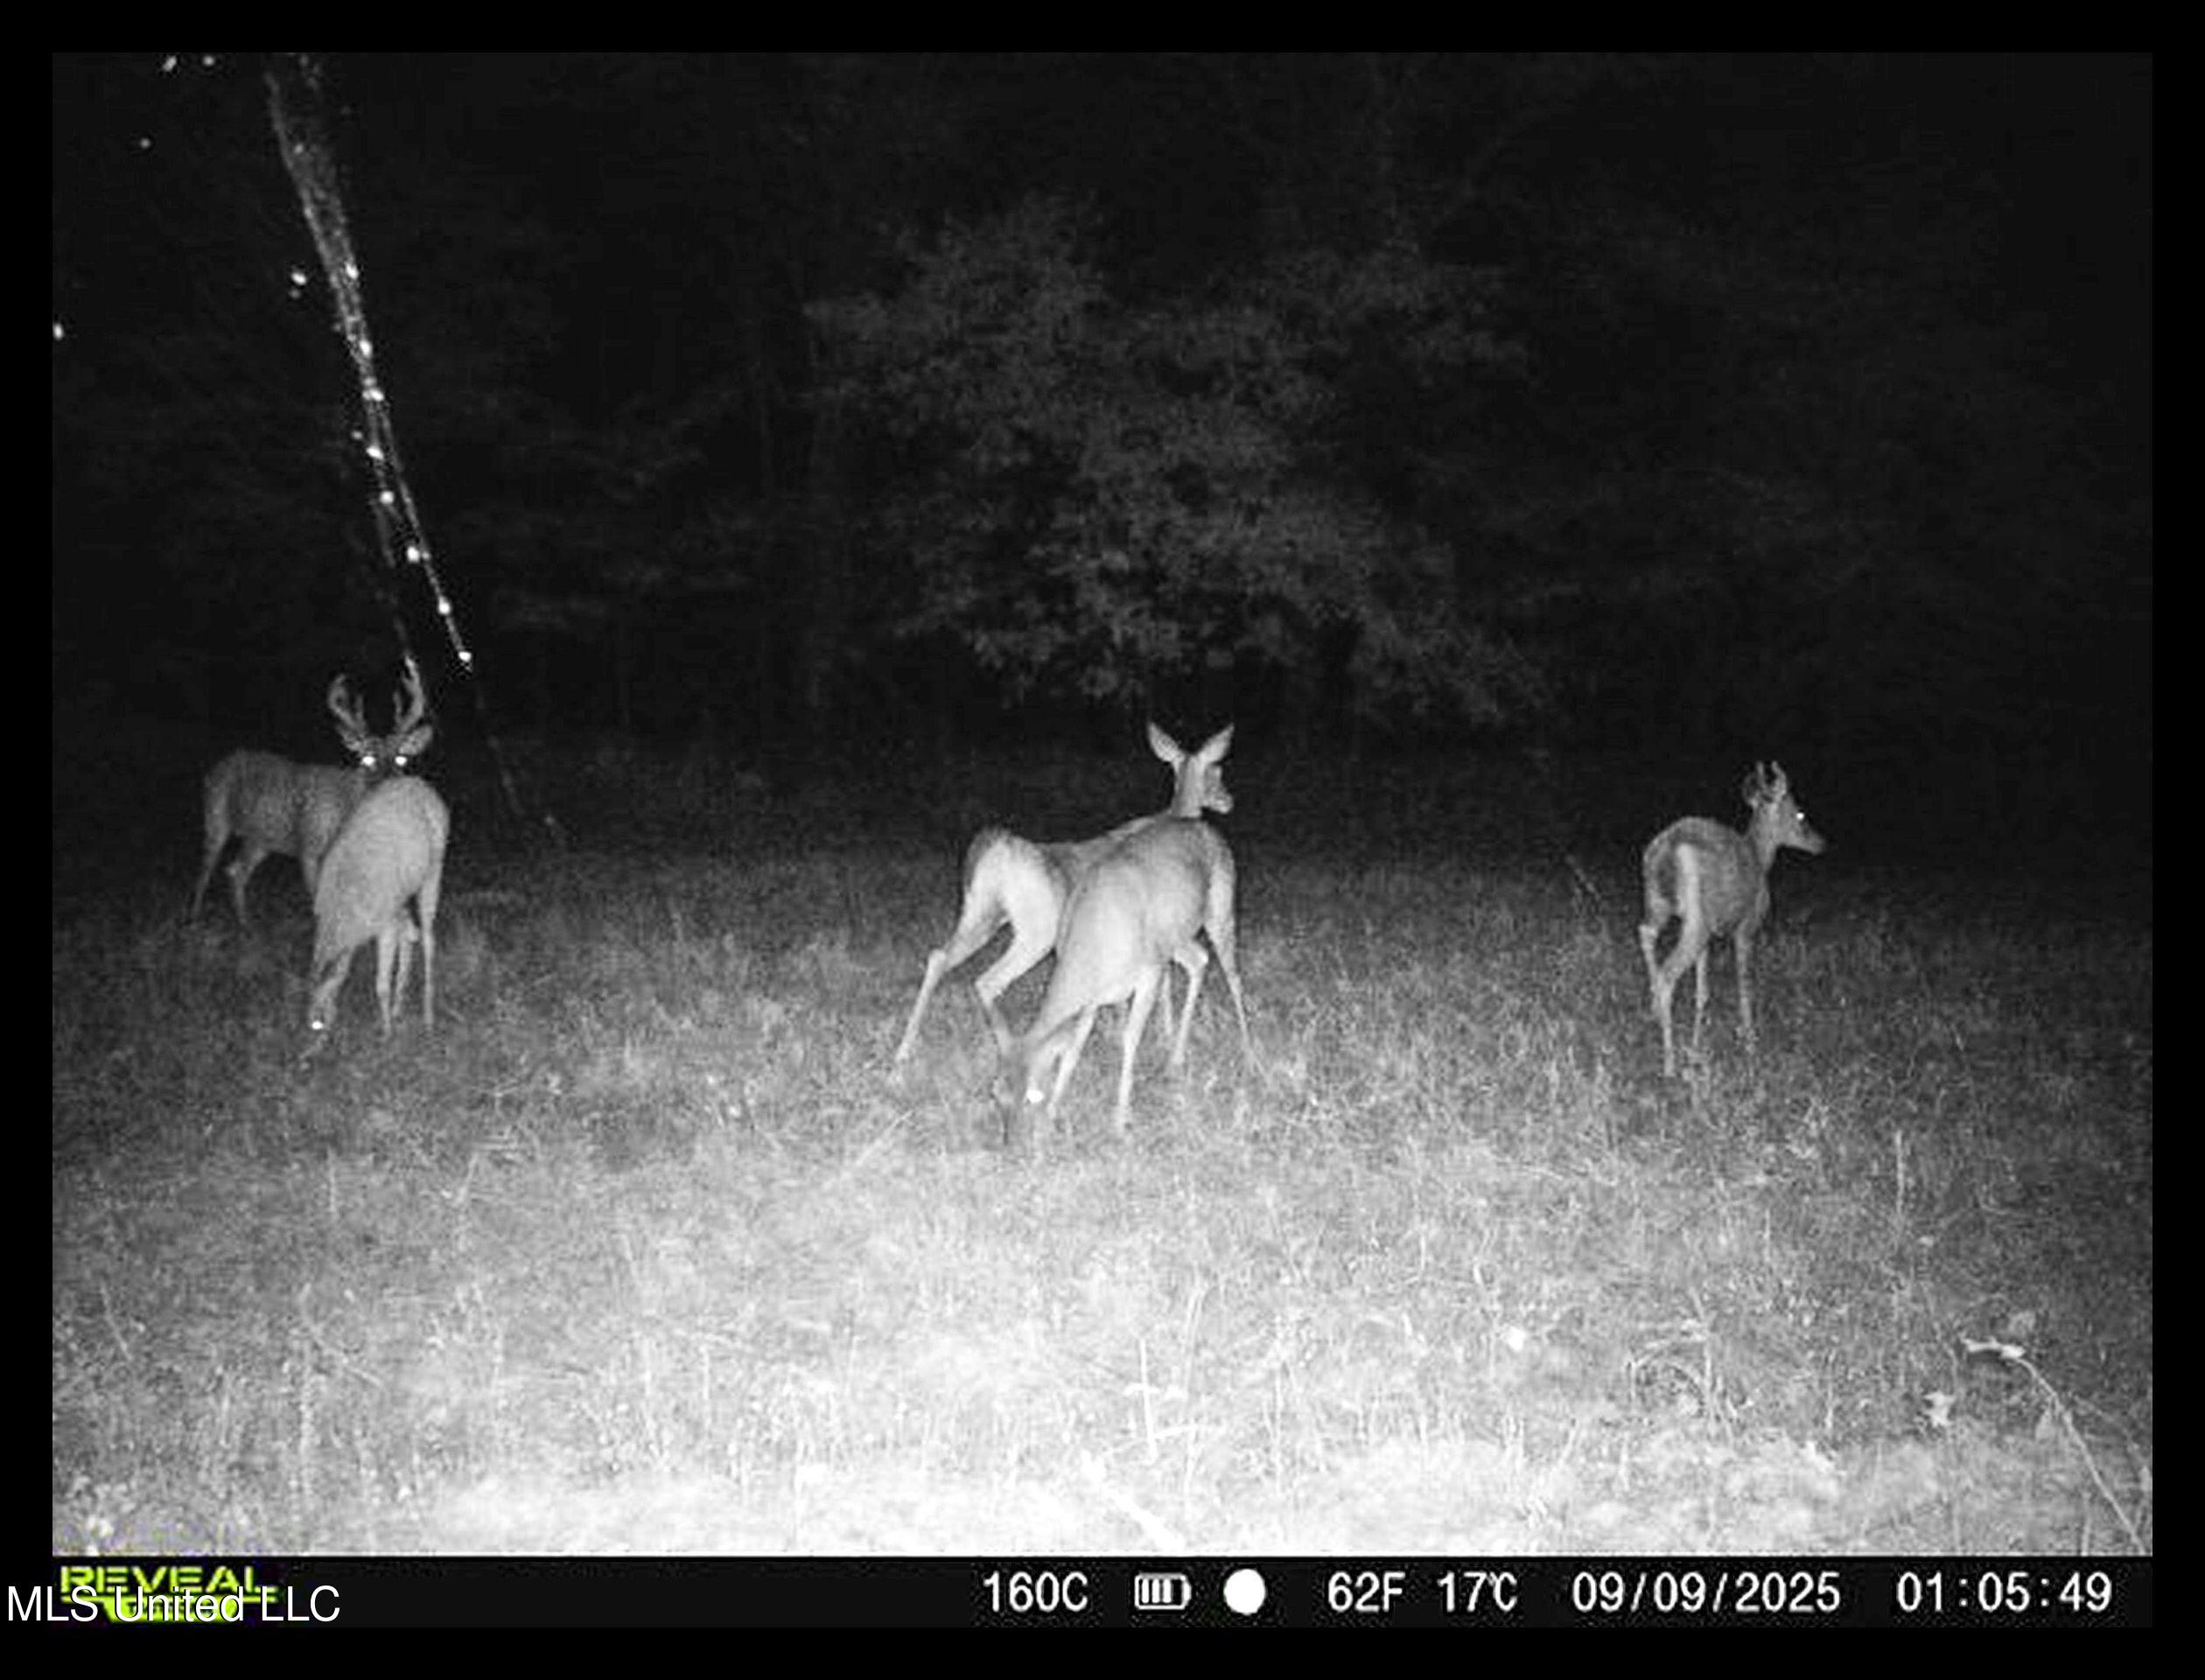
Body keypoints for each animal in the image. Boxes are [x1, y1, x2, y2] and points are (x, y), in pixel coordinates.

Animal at [190, 656, 434, 929]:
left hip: (261, 838)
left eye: (402, 758)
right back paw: (193, 918)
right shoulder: (308, 848)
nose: (391, 784)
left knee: (235, 871)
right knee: (206, 869)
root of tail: (217, 766)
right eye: (367, 758)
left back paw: (246, 924)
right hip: (215, 815)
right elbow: (318, 901)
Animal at [304, 775, 450, 1050]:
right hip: (401, 894)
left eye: (317, 1022)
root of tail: (419, 783)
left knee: (427, 937)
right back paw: (400, 1006)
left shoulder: (384, 925)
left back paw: (428, 1016)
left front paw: (387, 1032)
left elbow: (380, 984)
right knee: (411, 933)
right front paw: (393, 1015)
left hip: (433, 870)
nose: (312, 1050)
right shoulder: (387, 914)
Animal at [894, 722, 1236, 1068]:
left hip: (980, 913)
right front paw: (1161, 1036)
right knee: (989, 981)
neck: (1174, 814)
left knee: (938, 957)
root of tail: (998, 849)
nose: (1228, 800)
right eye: (1216, 770)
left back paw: (904, 1051)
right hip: (1036, 932)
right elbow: (1162, 980)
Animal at [996, 815, 1252, 1141]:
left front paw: (1120, 1121)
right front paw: (1053, 1117)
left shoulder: (1150, 973)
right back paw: (1176, 1059)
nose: (1011, 1141)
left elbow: (1129, 1038)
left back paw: (1248, 1051)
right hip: (1175, 938)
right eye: (996, 1094)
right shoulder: (1091, 1001)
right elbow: (1073, 1049)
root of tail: (1208, 828)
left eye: (1030, 1097)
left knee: (1233, 975)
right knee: (1199, 960)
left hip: (1220, 907)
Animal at [1638, 761, 1826, 1078]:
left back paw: (1654, 1012)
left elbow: (1703, 991)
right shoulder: (1746, 927)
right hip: (1696, 918)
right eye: (1800, 812)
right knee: (1668, 973)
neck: (1760, 859)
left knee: (1646, 932)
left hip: (1659, 903)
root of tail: (1669, 848)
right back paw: (1669, 1064)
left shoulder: (1713, 933)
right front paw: (1750, 1043)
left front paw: (1697, 1048)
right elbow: (1744, 984)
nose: (1821, 843)